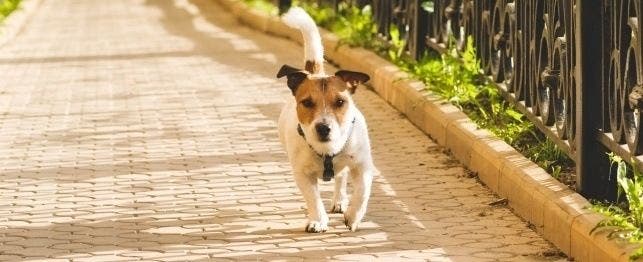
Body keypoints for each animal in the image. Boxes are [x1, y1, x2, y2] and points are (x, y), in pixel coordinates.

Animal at [276, 7, 378, 232]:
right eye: (307, 102)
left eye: (340, 101)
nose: (323, 128)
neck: (327, 152)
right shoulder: (302, 174)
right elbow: (313, 198)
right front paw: (318, 220)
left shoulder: (363, 166)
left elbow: (362, 193)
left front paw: (353, 216)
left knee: (341, 178)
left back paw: (340, 201)